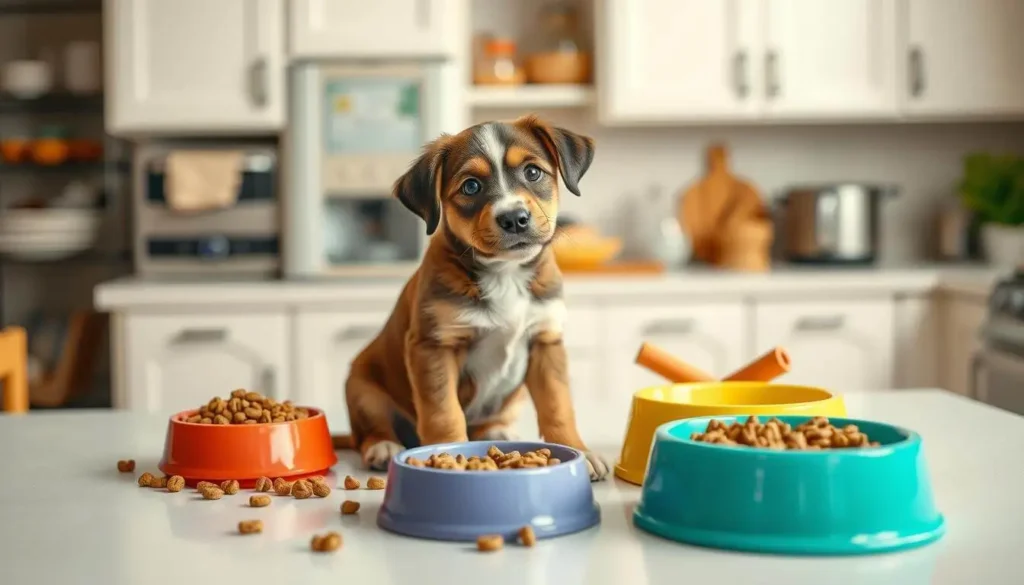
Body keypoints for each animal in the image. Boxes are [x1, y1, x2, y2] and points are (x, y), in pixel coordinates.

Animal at [342, 113, 606, 481]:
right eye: (471, 186)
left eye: (533, 172)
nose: (514, 218)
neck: (506, 275)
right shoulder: (434, 346)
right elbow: (443, 411)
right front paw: (446, 455)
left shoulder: (545, 340)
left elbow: (558, 404)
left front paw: (578, 451)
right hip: (363, 389)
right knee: (369, 430)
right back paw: (383, 447)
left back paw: (498, 431)